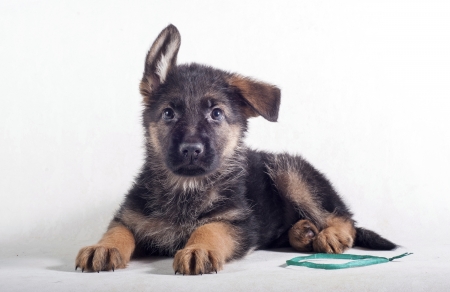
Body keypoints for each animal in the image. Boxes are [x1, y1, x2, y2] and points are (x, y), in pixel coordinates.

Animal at [75, 24, 396, 274]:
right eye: (168, 113)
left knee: (344, 217)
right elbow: (117, 231)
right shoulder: (129, 217)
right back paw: (303, 233)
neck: (186, 188)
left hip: (287, 171)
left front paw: (199, 249)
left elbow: (209, 227)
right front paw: (102, 247)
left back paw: (329, 235)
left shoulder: (237, 222)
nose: (191, 150)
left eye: (216, 113)